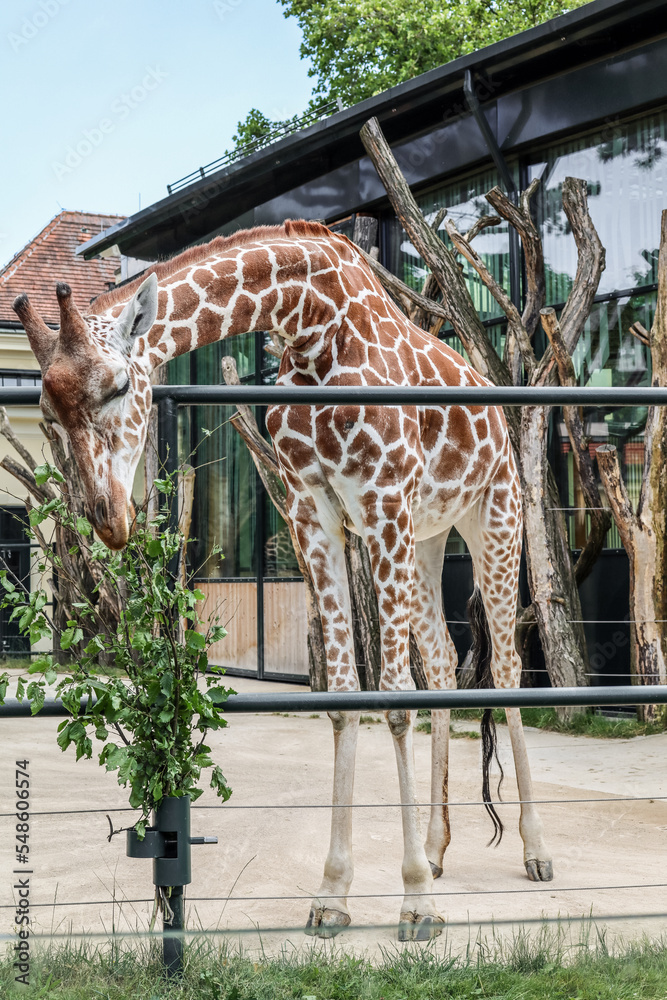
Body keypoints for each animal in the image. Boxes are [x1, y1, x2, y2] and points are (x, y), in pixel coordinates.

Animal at [14, 219, 552, 936]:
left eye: (122, 387)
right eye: (48, 413)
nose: (110, 520)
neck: (313, 326)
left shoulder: (381, 498)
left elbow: (393, 699)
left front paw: (413, 900)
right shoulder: (311, 506)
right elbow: (345, 696)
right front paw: (334, 893)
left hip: (494, 512)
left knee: (507, 665)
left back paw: (534, 851)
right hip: (429, 531)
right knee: (442, 659)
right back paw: (439, 848)